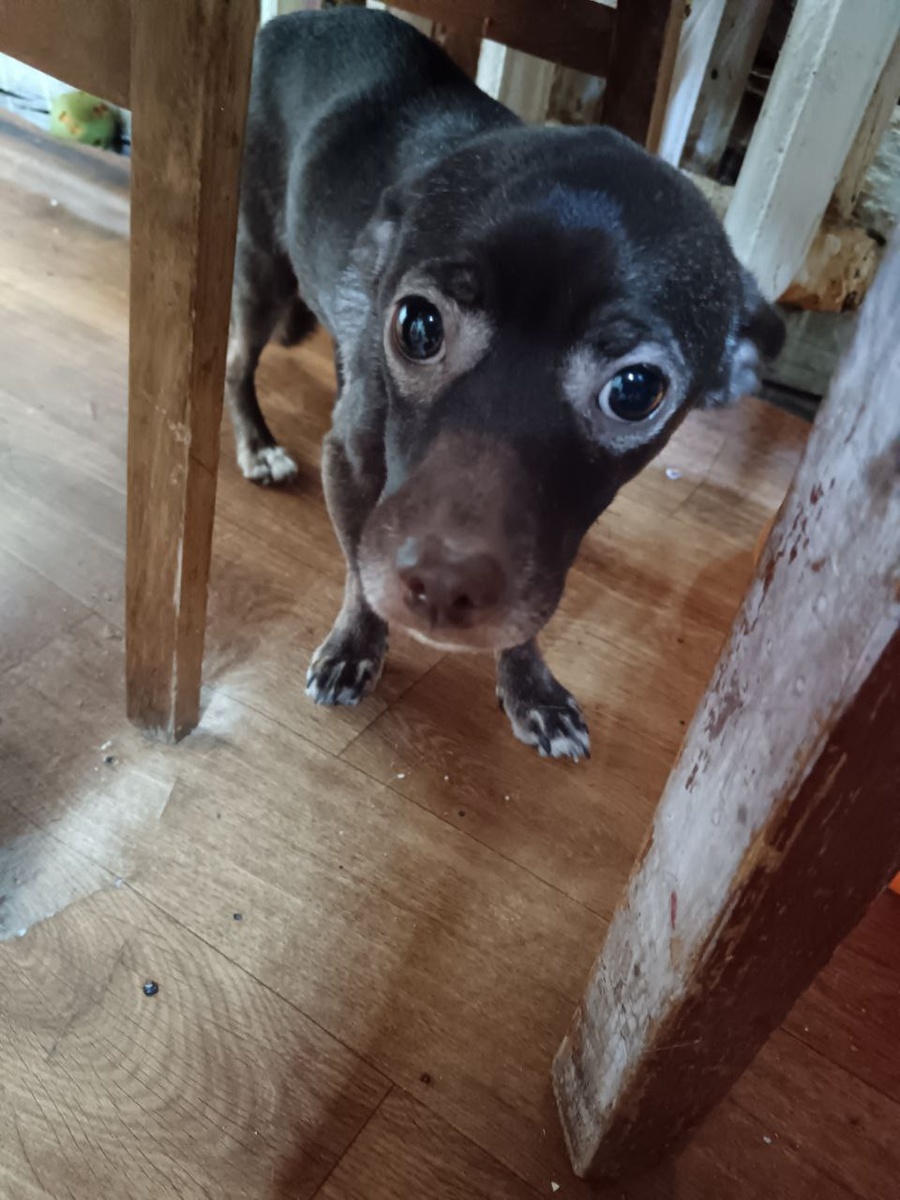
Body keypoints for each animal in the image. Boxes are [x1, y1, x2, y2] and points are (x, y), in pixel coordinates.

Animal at [226, 7, 783, 762]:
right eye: (418, 325)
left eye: (635, 390)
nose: (442, 584)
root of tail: (291, 21)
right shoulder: (350, 460)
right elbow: (360, 570)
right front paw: (355, 644)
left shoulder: (548, 536)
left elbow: (525, 606)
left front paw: (531, 689)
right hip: (261, 265)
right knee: (236, 361)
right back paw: (256, 444)